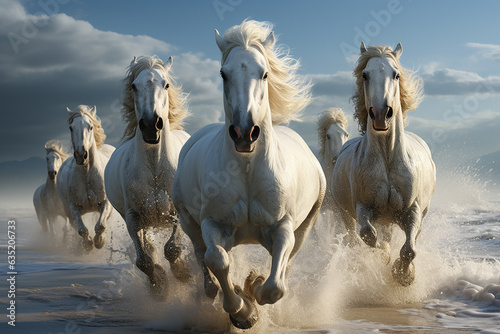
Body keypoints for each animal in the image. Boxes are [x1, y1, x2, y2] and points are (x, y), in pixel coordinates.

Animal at [56, 106, 115, 250]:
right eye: (71, 128)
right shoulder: (73, 208)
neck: (87, 173)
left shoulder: (105, 203)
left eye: (90, 127)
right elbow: (81, 229)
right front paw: (88, 245)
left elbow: (101, 225)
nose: (81, 155)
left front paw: (99, 242)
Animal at [104, 55, 190, 298]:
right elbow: (144, 260)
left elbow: (172, 248)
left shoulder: (179, 213)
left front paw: (184, 274)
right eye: (134, 86)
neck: (154, 167)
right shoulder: (133, 218)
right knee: (149, 248)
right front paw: (159, 286)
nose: (151, 125)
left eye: (166, 84)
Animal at [174, 20, 326, 328]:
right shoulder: (212, 223)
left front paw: (254, 288)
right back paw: (214, 288)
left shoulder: (282, 226)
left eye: (264, 73)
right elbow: (217, 260)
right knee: (202, 255)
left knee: (287, 263)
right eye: (223, 73)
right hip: (187, 219)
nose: (245, 133)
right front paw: (242, 310)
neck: (246, 171)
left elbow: (275, 286)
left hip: (305, 227)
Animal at [332, 42, 438, 288]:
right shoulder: (363, 207)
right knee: (355, 237)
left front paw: (404, 275)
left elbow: (409, 250)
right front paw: (385, 255)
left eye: (396, 74)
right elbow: (369, 236)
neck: (388, 158)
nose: (381, 115)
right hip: (346, 214)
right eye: (365, 74)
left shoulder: (412, 210)